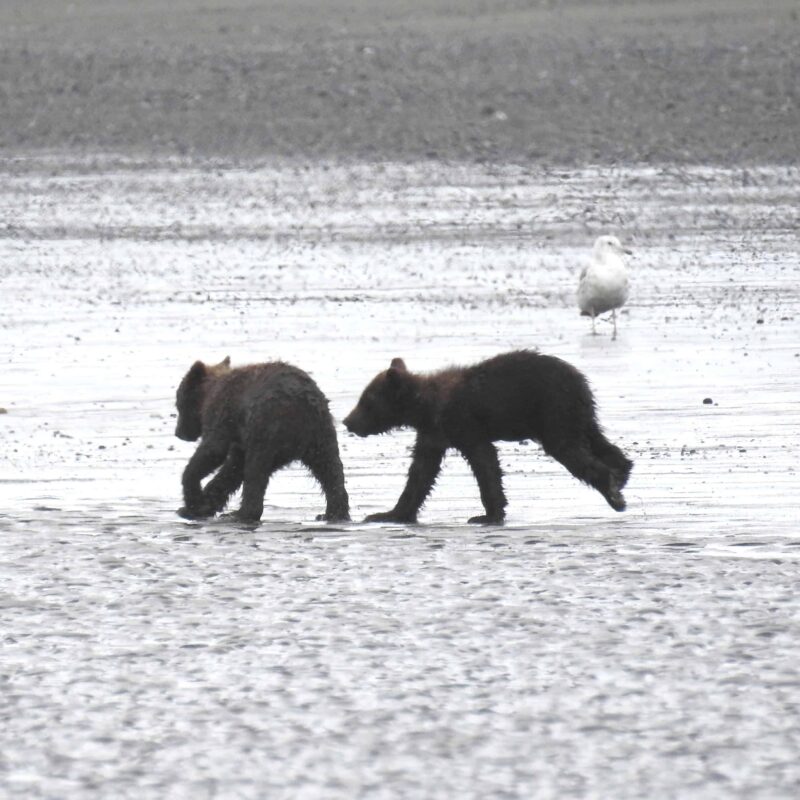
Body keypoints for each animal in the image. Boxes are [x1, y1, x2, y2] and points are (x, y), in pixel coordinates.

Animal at [174, 356, 350, 523]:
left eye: (178, 403)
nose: (178, 433)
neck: (210, 392)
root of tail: (303, 405)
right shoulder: (239, 436)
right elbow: (233, 467)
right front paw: (201, 506)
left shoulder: (223, 413)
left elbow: (214, 450)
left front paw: (191, 503)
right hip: (321, 434)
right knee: (330, 469)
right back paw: (334, 513)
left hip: (265, 427)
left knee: (255, 471)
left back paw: (241, 514)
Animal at [343, 350, 632, 524]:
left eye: (366, 401)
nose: (348, 421)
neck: (425, 407)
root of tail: (580, 380)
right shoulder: (433, 434)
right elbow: (421, 473)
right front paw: (388, 513)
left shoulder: (462, 423)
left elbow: (484, 462)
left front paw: (486, 515)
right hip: (578, 414)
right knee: (597, 440)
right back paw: (622, 472)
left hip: (554, 411)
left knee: (569, 449)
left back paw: (613, 493)